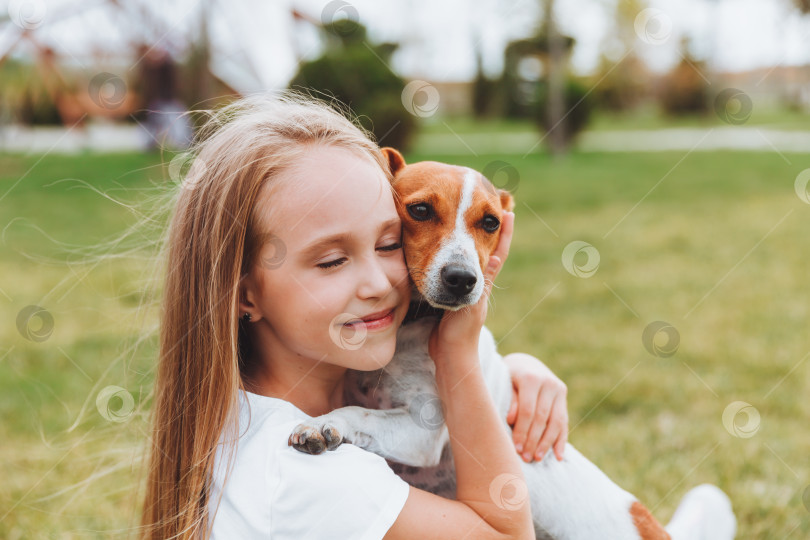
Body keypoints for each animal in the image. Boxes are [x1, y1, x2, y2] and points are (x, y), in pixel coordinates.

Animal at [288, 149, 736, 540]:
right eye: (420, 210)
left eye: (490, 222)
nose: (463, 279)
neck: (411, 331)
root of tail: (652, 526)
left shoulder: (423, 433)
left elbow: (358, 413)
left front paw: (324, 423)